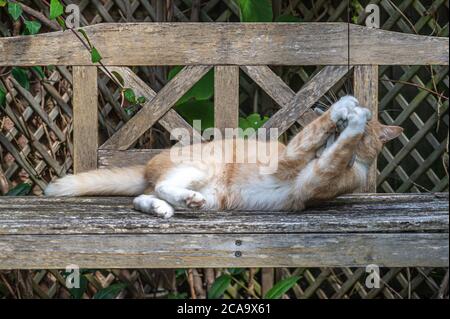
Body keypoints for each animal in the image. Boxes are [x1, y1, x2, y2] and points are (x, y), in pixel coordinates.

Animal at [45, 96, 402, 219]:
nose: (346, 121)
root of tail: (147, 165)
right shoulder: (292, 155)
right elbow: (314, 130)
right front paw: (345, 108)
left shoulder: (316, 176)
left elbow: (338, 148)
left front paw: (353, 121)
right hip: (202, 168)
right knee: (159, 187)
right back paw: (171, 203)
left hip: (211, 195)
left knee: (150, 194)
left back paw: (168, 207)